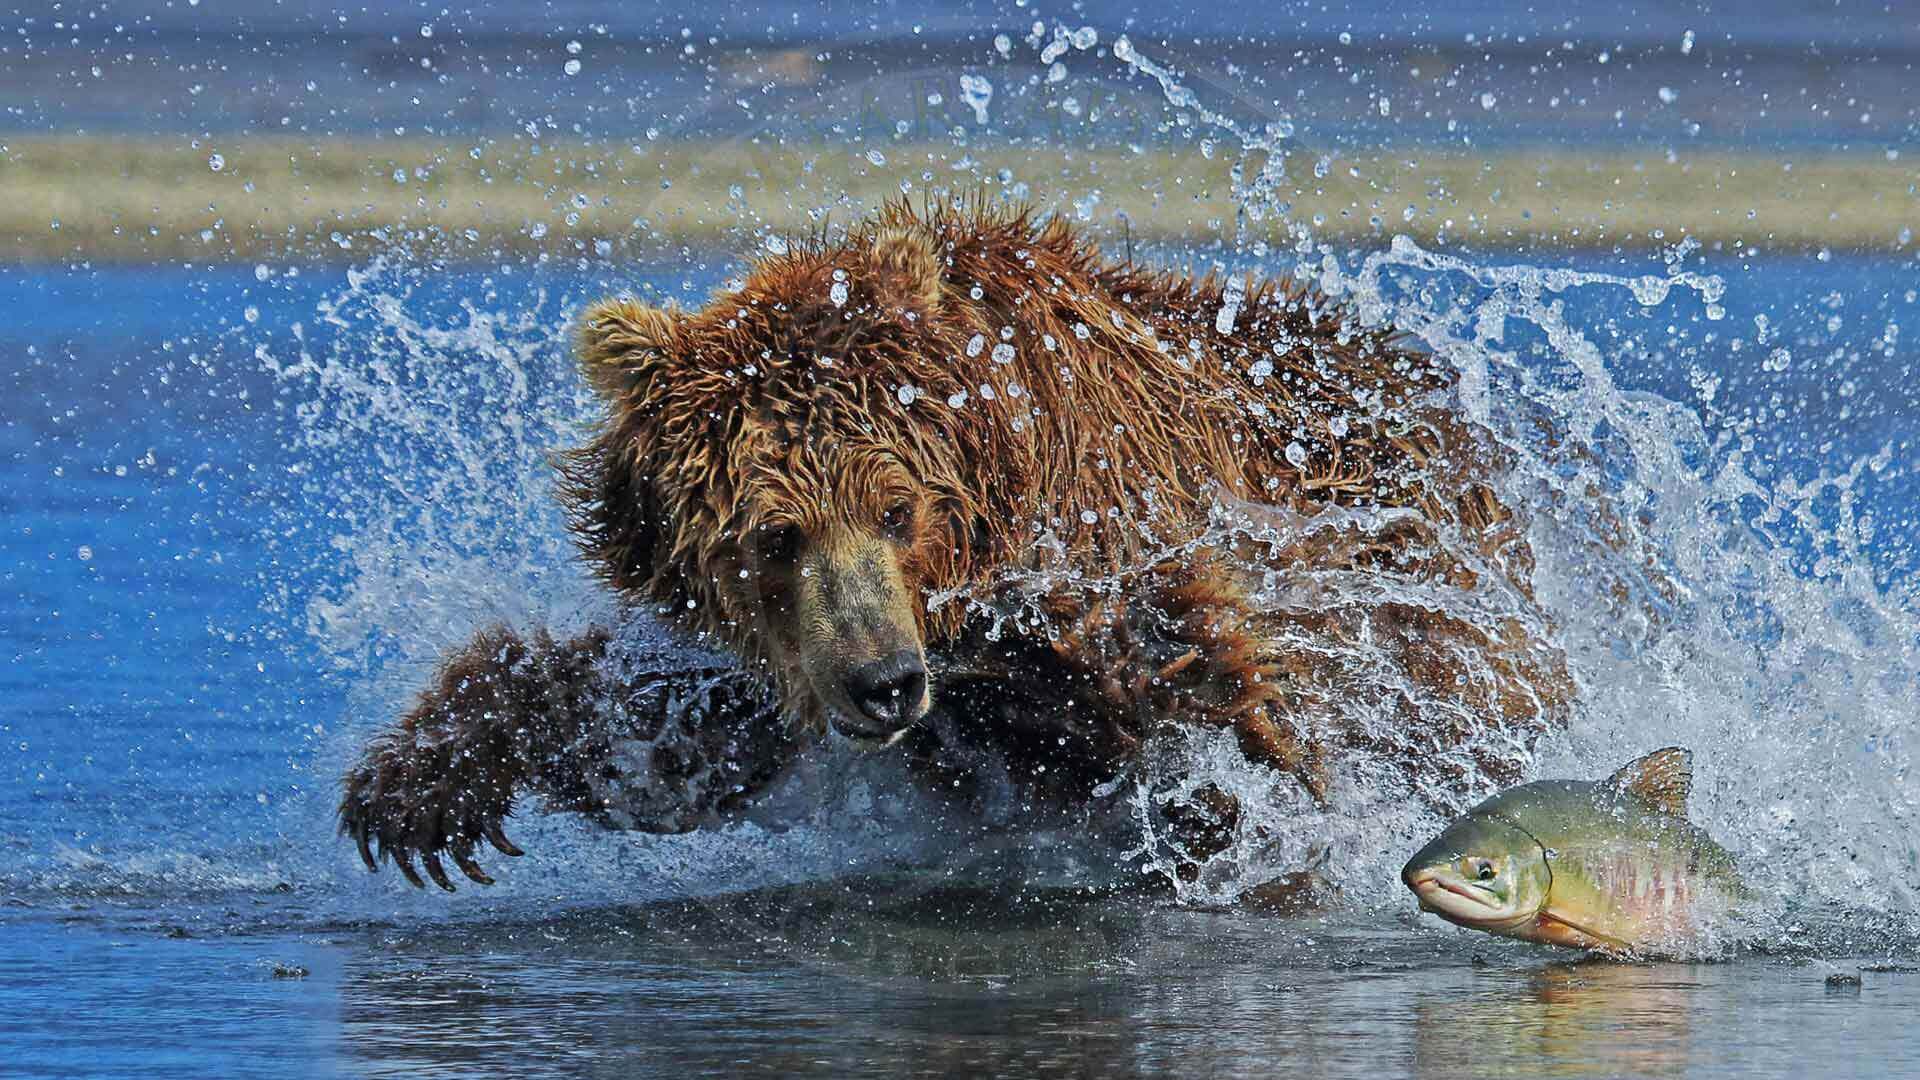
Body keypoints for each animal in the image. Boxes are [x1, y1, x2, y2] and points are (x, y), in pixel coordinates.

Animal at [338, 196, 1571, 893]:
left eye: (897, 508)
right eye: (772, 536)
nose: (883, 683)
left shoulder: (1122, 544)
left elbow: (1224, 695)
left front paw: (1227, 805)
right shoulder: (806, 660)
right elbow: (672, 739)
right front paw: (424, 784)